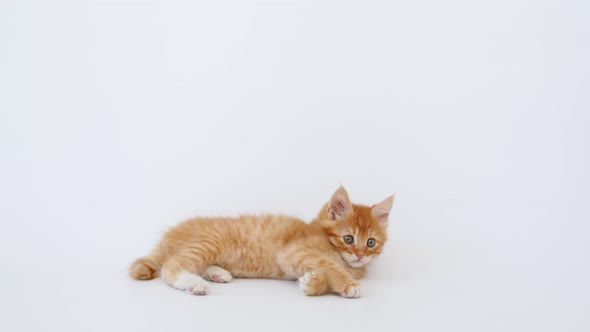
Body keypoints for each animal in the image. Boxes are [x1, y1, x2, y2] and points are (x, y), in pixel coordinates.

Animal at [132, 187, 396, 298]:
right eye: (348, 239)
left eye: (370, 243)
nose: (360, 254)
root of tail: (171, 234)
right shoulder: (293, 251)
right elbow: (327, 264)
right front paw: (346, 283)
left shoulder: (293, 263)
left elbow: (318, 271)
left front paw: (312, 283)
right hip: (209, 242)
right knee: (171, 266)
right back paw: (194, 283)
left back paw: (218, 273)